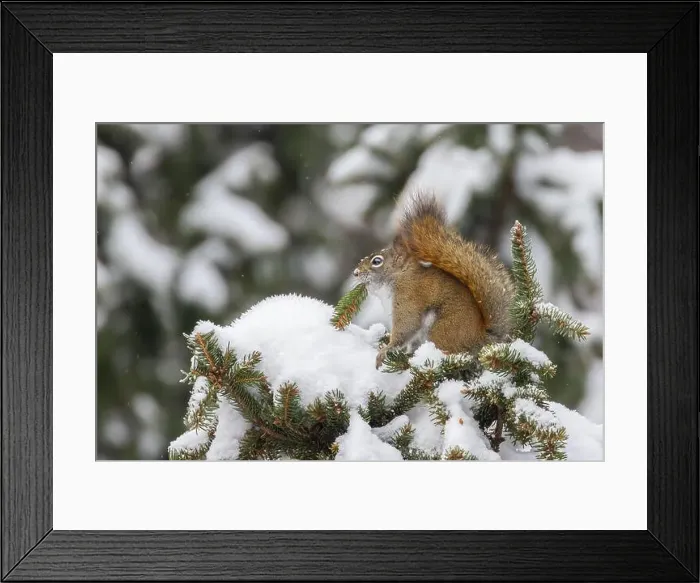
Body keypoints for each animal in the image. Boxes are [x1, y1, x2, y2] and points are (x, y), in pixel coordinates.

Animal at [353, 191, 516, 369]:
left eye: (377, 261)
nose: (355, 273)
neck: (399, 277)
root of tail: (483, 340)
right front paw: (404, 353)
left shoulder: (407, 298)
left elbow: (407, 327)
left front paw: (385, 350)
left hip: (442, 330)